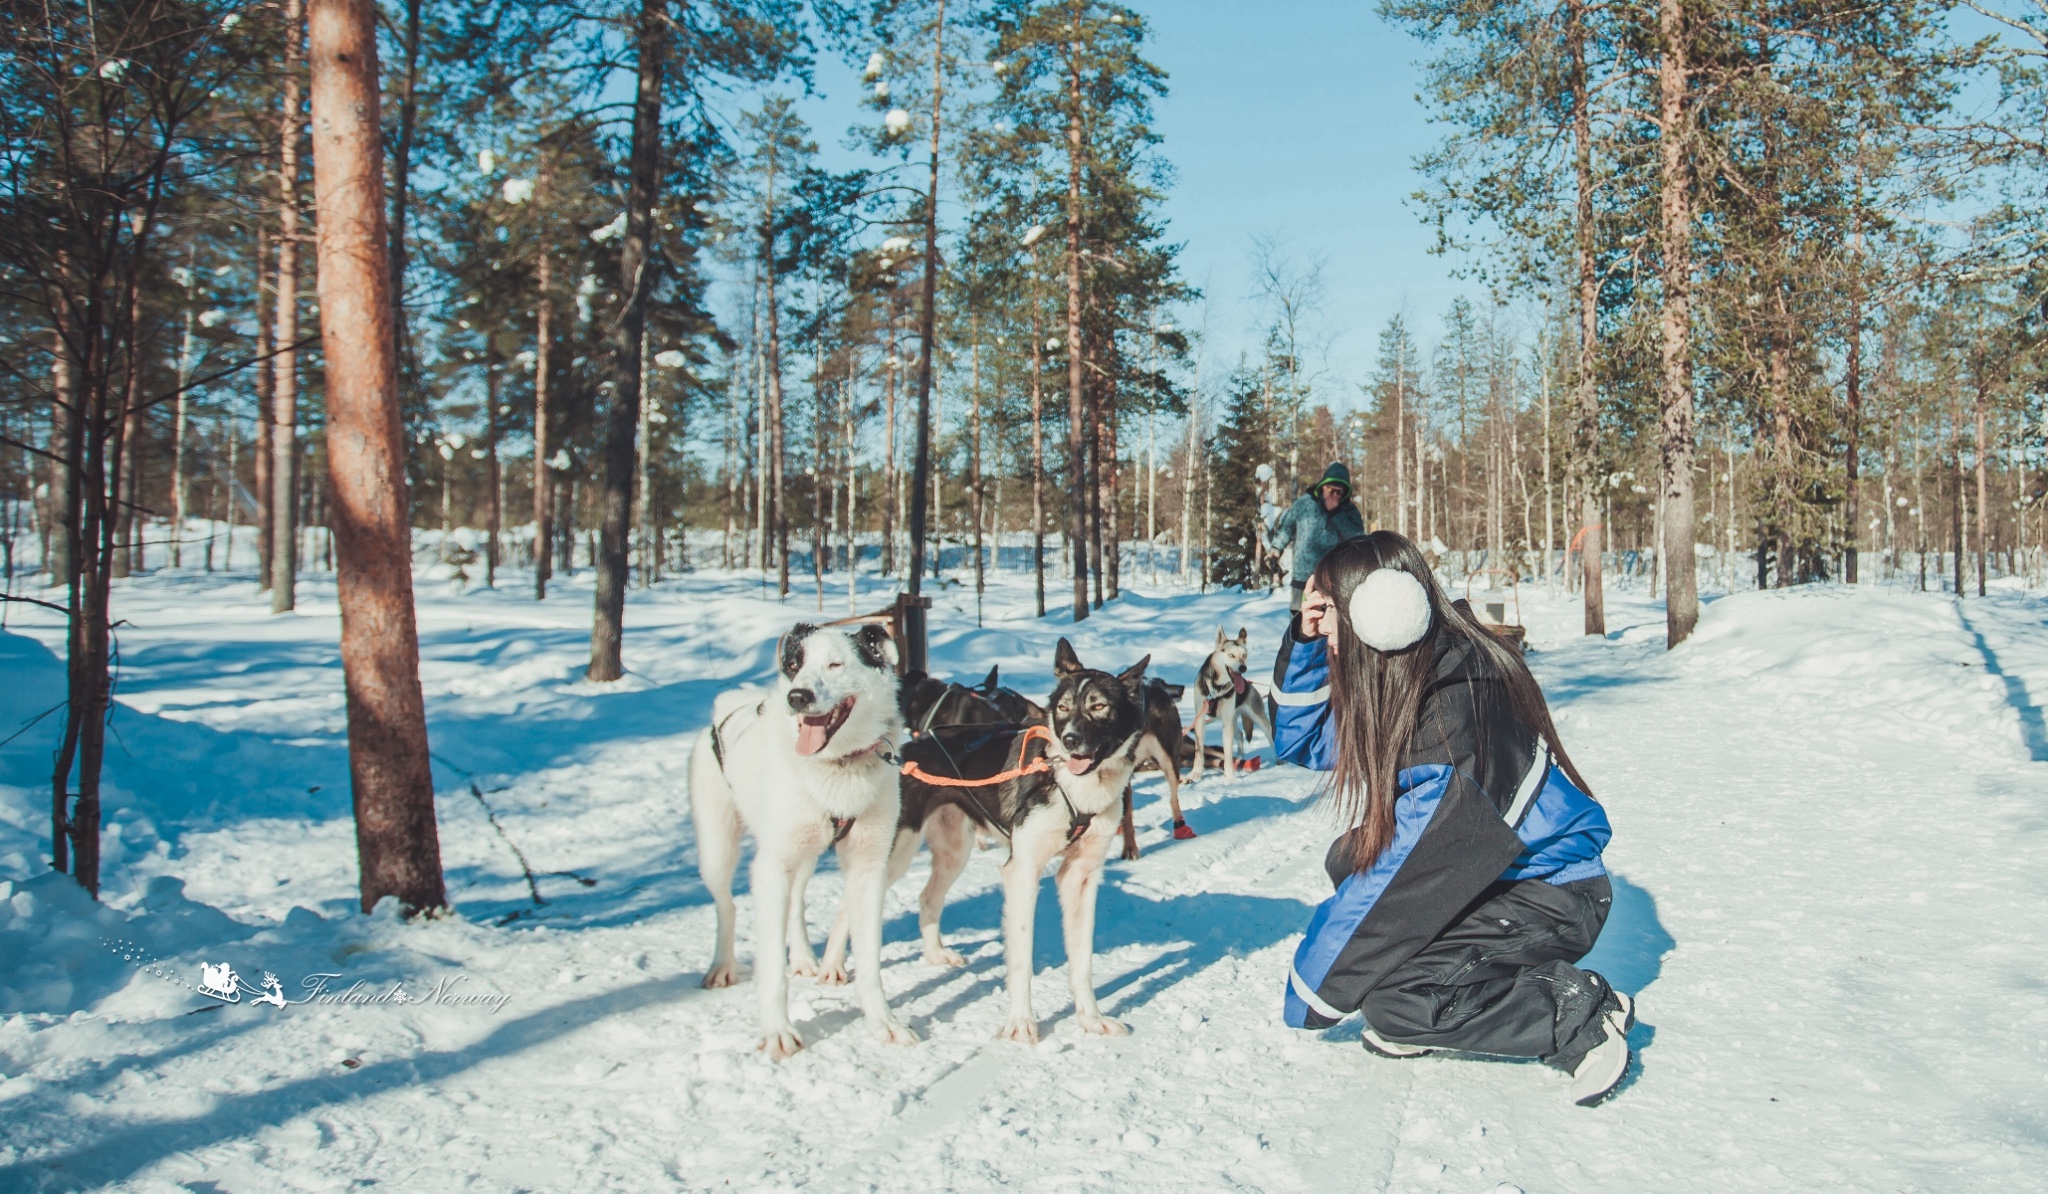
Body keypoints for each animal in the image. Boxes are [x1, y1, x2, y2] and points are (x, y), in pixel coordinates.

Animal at [688, 622, 921, 1056]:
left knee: (795, 902)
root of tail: (729, 705)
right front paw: (777, 1032)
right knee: (727, 905)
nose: (798, 696)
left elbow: (869, 962)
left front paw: (882, 1023)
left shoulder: (868, 868)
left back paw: (802, 957)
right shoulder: (770, 868)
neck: (836, 766)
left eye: (835, 664)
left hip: (804, 856)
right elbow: (771, 971)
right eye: (795, 665)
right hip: (719, 850)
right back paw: (723, 965)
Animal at [1187, 626, 1261, 786]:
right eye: (1231, 655)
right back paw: (1239, 758)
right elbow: (1198, 750)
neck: (1216, 689)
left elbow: (1227, 753)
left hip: (1252, 717)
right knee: (1240, 734)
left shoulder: (1226, 723)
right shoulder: (1200, 719)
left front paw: (1229, 777)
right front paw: (1196, 773)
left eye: (1244, 655)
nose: (1243, 668)